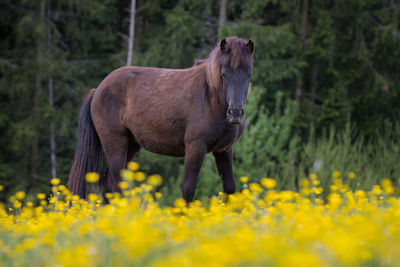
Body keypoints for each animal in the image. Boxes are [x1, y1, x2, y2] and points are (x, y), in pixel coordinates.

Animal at [67, 36, 255, 203]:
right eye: (224, 73)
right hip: (115, 144)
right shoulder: (195, 147)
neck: (210, 96)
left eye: (249, 74)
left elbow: (229, 188)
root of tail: (97, 90)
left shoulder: (224, 150)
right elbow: (188, 189)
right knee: (114, 185)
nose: (235, 113)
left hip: (131, 145)